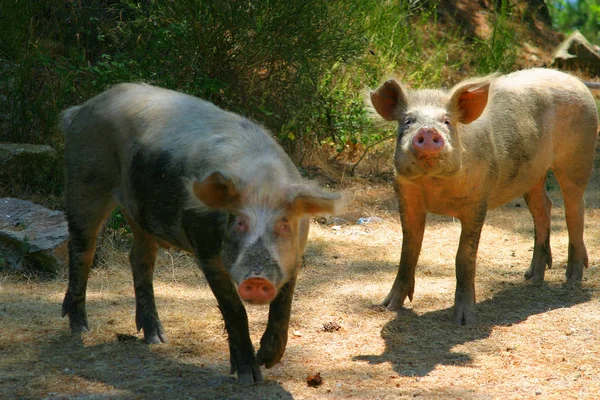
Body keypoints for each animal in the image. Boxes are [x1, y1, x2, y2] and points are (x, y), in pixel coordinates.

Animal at [59, 83, 346, 382]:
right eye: (239, 221)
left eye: (284, 223)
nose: (257, 279)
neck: (261, 182)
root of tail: (79, 110)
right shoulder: (206, 250)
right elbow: (234, 309)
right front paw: (250, 376)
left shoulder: (295, 257)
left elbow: (283, 307)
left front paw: (268, 361)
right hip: (84, 180)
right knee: (82, 250)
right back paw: (81, 328)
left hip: (139, 212)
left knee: (139, 258)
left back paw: (157, 339)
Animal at [372, 69, 596, 324]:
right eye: (408, 121)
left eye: (447, 121)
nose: (428, 131)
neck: (435, 186)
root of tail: (575, 80)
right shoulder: (406, 195)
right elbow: (408, 251)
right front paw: (387, 307)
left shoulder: (478, 201)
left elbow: (464, 257)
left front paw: (464, 320)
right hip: (533, 174)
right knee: (543, 208)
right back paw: (531, 276)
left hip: (579, 155)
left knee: (575, 207)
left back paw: (572, 279)